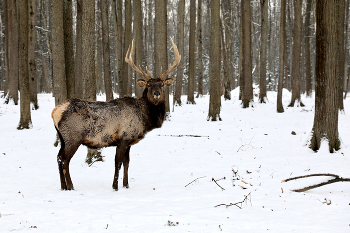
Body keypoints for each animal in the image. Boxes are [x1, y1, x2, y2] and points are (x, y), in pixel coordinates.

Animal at [53, 37, 182, 190]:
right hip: (73, 137)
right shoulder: (124, 137)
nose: (157, 93)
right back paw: (71, 186)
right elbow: (118, 162)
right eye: (149, 85)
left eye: (161, 84)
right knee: (64, 159)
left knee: (58, 157)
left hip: (63, 138)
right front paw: (115, 186)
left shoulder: (130, 141)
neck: (145, 120)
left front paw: (126, 185)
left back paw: (63, 186)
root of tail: (55, 111)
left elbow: (127, 162)